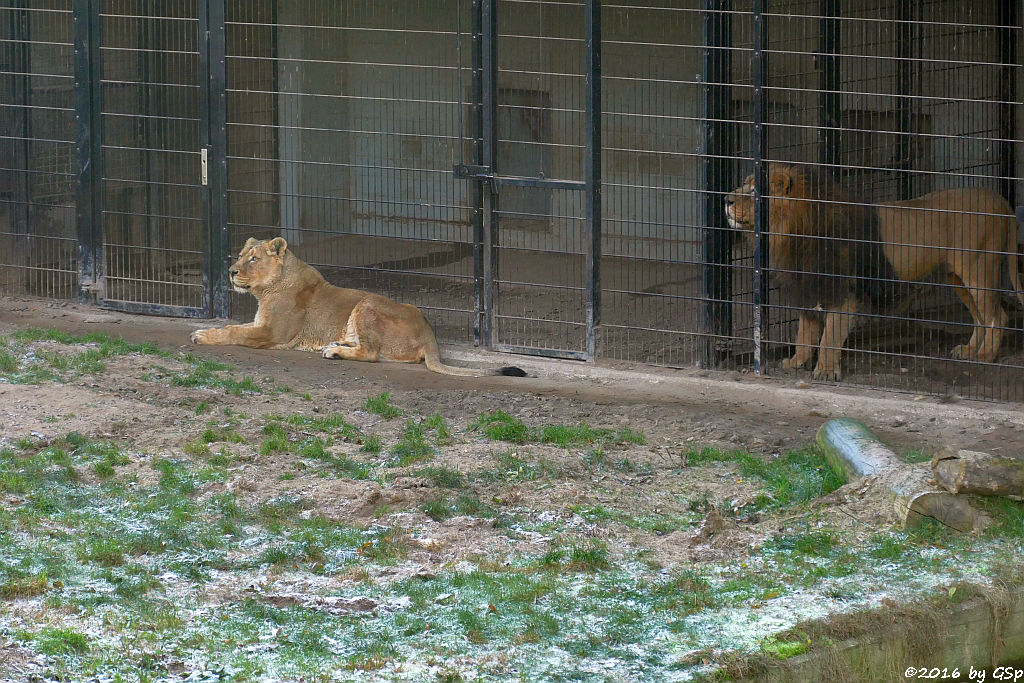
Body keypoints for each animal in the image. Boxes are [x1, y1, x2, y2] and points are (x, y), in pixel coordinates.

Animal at [192, 236, 528, 378]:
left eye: (253, 259)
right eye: (240, 255)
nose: (231, 271)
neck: (269, 288)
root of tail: (430, 337)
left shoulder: (272, 333)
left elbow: (234, 332)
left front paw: (201, 336)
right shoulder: (262, 325)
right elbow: (232, 326)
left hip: (367, 302)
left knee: (371, 354)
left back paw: (334, 351)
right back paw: (335, 344)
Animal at [724, 163, 1019, 382]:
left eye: (754, 191)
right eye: (744, 184)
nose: (726, 199)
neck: (790, 232)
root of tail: (1000, 199)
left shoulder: (842, 290)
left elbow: (830, 335)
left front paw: (826, 371)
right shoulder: (809, 285)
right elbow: (805, 332)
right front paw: (797, 362)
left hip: (979, 270)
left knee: (998, 316)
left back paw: (985, 356)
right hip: (957, 277)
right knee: (981, 317)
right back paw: (969, 351)